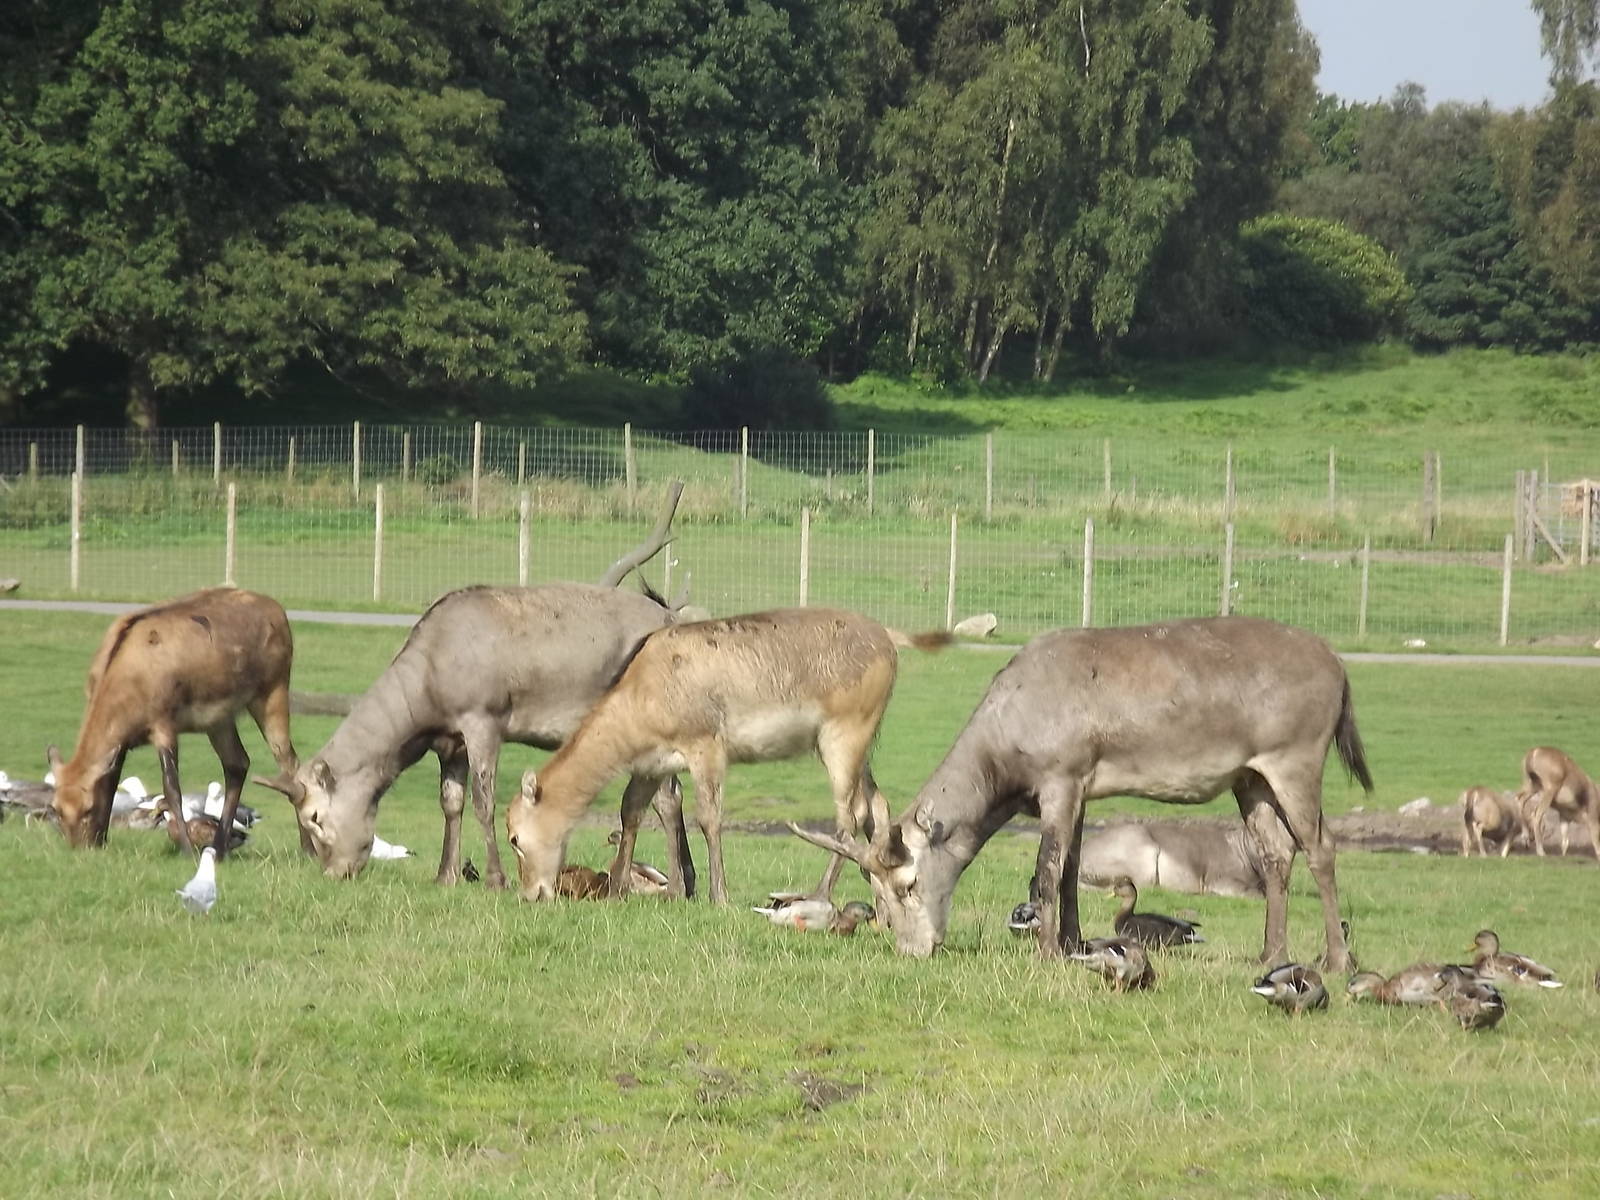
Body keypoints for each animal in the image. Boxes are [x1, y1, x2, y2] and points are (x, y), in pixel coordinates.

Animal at [49, 588, 300, 857]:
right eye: (56, 809)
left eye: (88, 808)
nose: (80, 846)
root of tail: (279, 611)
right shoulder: (123, 742)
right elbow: (112, 781)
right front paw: (103, 838)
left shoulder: (164, 723)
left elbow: (172, 787)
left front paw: (187, 849)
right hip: (219, 718)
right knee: (237, 763)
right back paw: (219, 847)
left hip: (273, 690)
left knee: (289, 763)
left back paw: (308, 846)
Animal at [506, 607, 939, 905]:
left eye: (513, 837)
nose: (531, 893)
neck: (643, 692)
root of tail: (887, 636)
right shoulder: (651, 764)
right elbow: (630, 812)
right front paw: (616, 892)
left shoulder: (707, 746)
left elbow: (709, 818)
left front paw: (720, 896)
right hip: (859, 745)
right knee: (875, 804)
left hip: (843, 736)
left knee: (848, 816)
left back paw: (818, 894)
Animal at [792, 616, 1370, 970]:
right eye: (876, 892)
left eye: (908, 884)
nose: (913, 948)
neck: (1006, 761)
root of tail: (1341, 671)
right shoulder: (1084, 786)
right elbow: (1071, 865)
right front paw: (1074, 942)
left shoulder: (1062, 773)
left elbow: (1047, 867)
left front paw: (1048, 950)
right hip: (1252, 777)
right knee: (1275, 853)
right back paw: (1270, 954)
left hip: (1297, 755)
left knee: (1320, 847)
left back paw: (1337, 958)